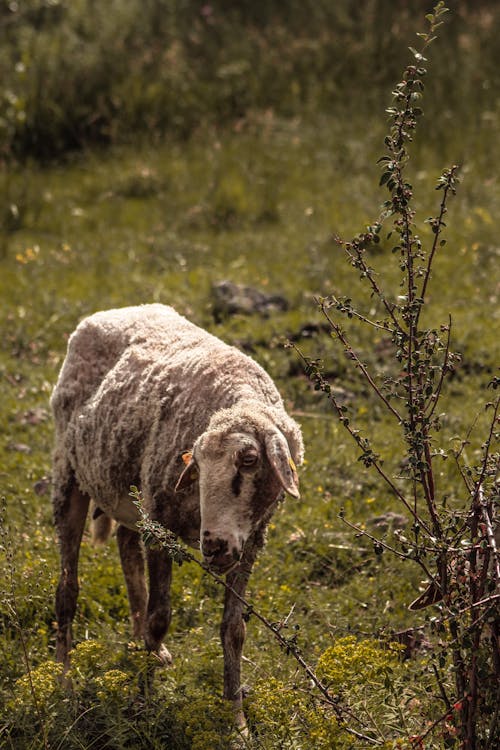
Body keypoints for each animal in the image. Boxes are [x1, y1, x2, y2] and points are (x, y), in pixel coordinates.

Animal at [49, 302, 304, 732]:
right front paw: (145, 702)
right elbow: (160, 617)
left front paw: (237, 721)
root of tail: (112, 311)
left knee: (127, 548)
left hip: (132, 495)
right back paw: (65, 680)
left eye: (249, 459)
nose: (213, 544)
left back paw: (143, 648)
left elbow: (234, 630)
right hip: (70, 476)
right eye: (196, 464)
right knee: (68, 590)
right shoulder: (162, 526)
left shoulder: (250, 541)